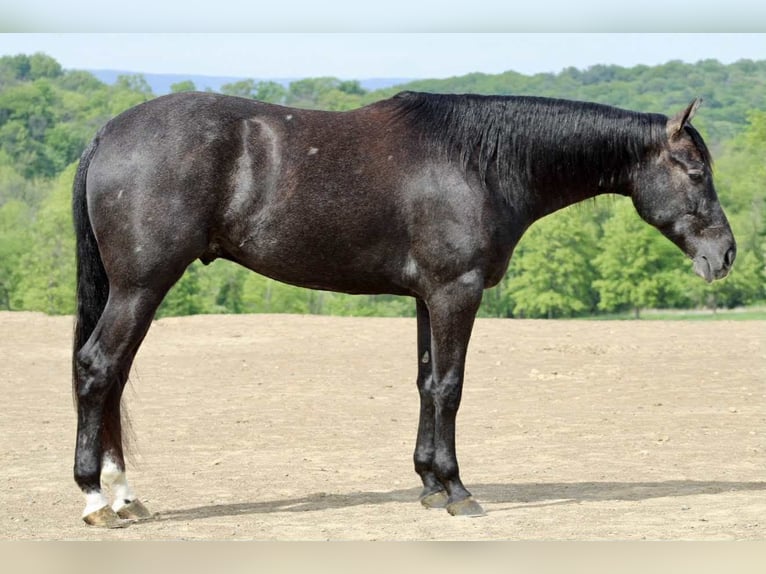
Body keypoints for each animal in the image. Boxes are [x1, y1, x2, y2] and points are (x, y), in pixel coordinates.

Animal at [71, 90, 736, 527]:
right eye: (695, 172)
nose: (725, 254)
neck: (478, 162)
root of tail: (109, 132)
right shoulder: (455, 291)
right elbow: (450, 386)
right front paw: (458, 490)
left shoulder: (426, 297)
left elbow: (425, 383)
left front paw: (428, 484)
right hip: (141, 286)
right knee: (98, 369)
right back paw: (95, 498)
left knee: (115, 377)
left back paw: (125, 495)